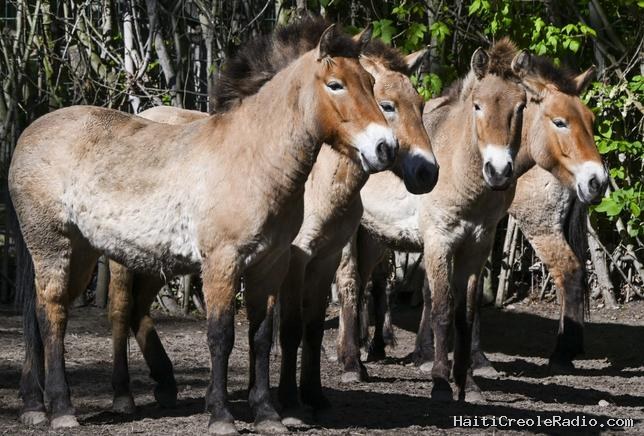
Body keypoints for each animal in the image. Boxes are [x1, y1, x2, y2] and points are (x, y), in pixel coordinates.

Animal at [9, 20, 398, 435]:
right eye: (335, 84)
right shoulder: (221, 263)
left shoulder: (269, 266)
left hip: (81, 252)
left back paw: (34, 405)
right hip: (52, 245)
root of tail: (28, 134)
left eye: (370, 84)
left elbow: (261, 337)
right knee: (52, 313)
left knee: (42, 313)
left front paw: (267, 414)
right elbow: (221, 336)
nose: (385, 148)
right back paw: (62, 409)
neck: (252, 158)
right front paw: (221, 415)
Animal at [105, 22, 439, 420]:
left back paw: (167, 383)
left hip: (159, 258)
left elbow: (308, 328)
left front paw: (311, 395)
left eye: (420, 105)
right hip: (124, 258)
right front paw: (290, 400)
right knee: (121, 310)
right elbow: (291, 328)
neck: (318, 180)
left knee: (140, 310)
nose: (427, 172)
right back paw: (123, 395)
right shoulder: (294, 258)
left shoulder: (322, 258)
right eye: (387, 105)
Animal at [336, 46, 607, 402]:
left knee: (364, 280)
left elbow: (466, 307)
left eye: (590, 120)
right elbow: (441, 305)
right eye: (560, 121)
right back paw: (351, 364)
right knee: (348, 281)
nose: (597, 181)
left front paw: (467, 376)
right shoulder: (439, 239)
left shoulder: (478, 239)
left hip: (373, 233)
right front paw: (439, 377)